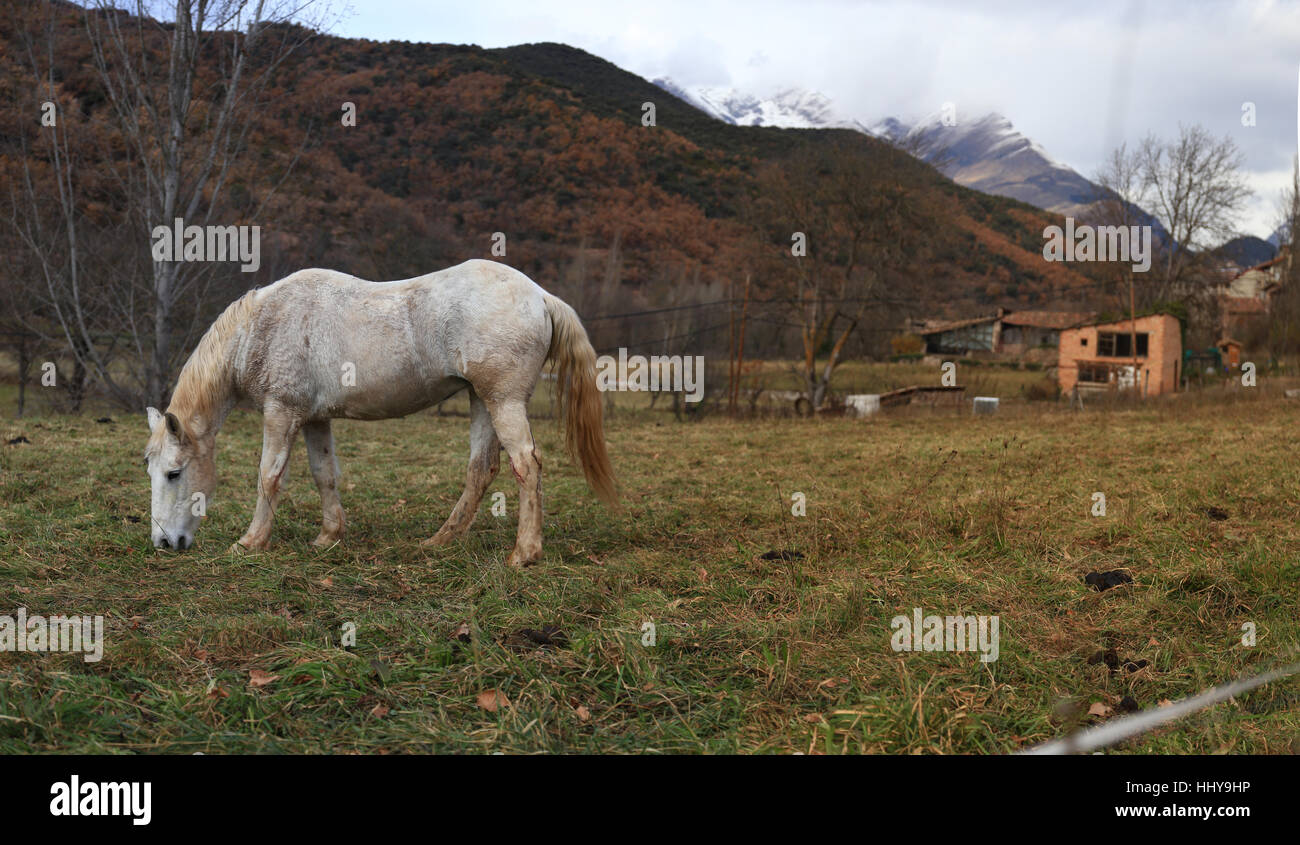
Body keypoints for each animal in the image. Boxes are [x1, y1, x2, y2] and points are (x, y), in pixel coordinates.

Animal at [139, 254, 616, 559]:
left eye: (174, 473)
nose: (163, 543)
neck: (262, 327)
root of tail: (539, 295)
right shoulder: (314, 419)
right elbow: (324, 475)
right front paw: (329, 536)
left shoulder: (282, 413)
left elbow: (269, 478)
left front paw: (250, 542)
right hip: (481, 399)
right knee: (482, 470)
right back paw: (441, 541)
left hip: (504, 401)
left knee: (526, 465)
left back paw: (524, 553)